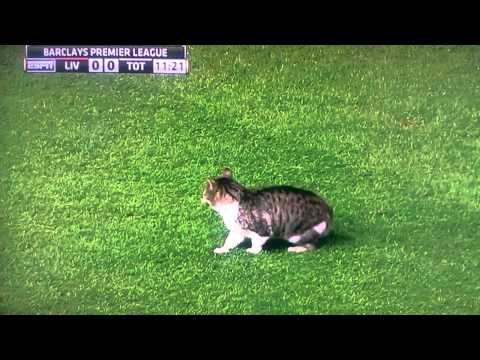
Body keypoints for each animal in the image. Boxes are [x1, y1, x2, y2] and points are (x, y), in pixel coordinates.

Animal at [201, 168, 332, 255]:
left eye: (204, 193)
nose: (200, 198)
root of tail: (328, 211)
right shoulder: (237, 231)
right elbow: (229, 241)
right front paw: (222, 249)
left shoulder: (263, 230)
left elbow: (257, 243)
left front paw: (252, 251)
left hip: (295, 234)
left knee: (312, 245)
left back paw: (295, 249)